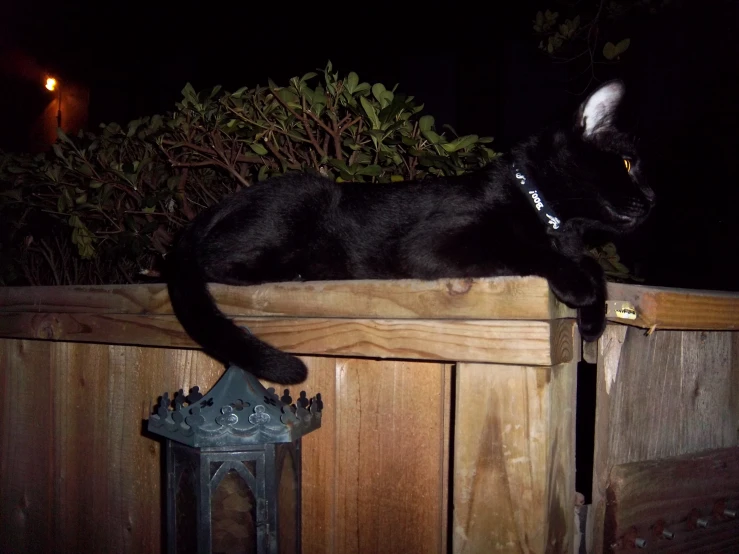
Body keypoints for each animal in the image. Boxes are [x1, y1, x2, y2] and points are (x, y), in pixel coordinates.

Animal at [166, 80, 652, 384]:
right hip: (305, 194)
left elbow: (593, 266)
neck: (555, 220)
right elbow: (525, 249)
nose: (652, 197)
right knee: (217, 262)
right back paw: (301, 273)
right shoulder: (434, 246)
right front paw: (578, 288)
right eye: (628, 164)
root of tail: (208, 211)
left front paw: (593, 319)